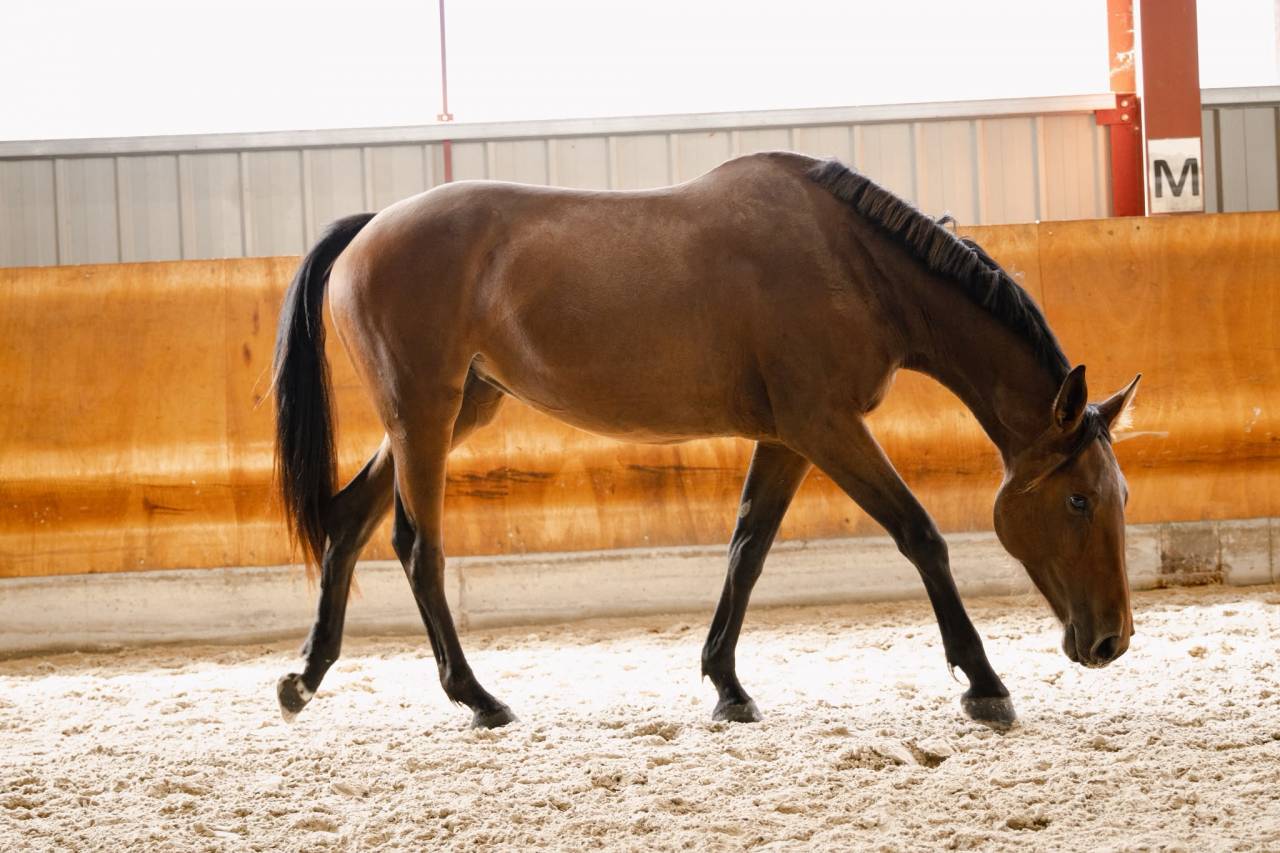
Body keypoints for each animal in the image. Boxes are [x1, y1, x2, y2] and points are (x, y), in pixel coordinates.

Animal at [271, 151, 1140, 730]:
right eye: (1078, 498)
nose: (1111, 640)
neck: (853, 264)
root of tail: (367, 231)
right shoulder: (827, 426)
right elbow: (920, 535)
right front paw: (985, 682)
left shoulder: (789, 438)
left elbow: (747, 548)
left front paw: (727, 683)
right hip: (424, 415)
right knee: (419, 545)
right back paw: (478, 698)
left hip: (447, 415)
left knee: (348, 522)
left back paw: (305, 677)